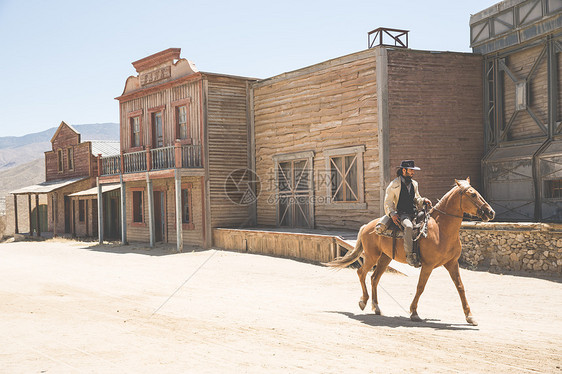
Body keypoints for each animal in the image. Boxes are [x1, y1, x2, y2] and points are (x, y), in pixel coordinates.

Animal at [326, 177, 492, 326]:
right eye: (472, 194)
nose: (490, 212)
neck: (441, 230)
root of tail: (367, 226)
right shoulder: (428, 265)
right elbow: (420, 287)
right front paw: (414, 312)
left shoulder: (452, 263)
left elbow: (460, 287)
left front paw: (470, 316)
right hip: (372, 256)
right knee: (361, 273)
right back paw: (363, 302)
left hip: (385, 258)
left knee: (374, 278)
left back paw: (377, 307)